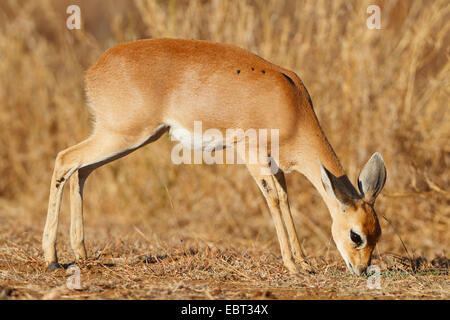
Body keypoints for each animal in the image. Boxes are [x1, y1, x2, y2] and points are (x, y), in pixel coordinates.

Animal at [43, 39, 386, 276]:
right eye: (356, 236)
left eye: (377, 234)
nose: (361, 270)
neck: (291, 105)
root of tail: (94, 69)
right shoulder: (252, 154)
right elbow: (274, 199)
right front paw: (292, 266)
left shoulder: (275, 164)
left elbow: (286, 199)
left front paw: (303, 262)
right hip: (123, 135)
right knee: (64, 159)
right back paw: (52, 259)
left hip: (128, 138)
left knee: (81, 171)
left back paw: (81, 253)